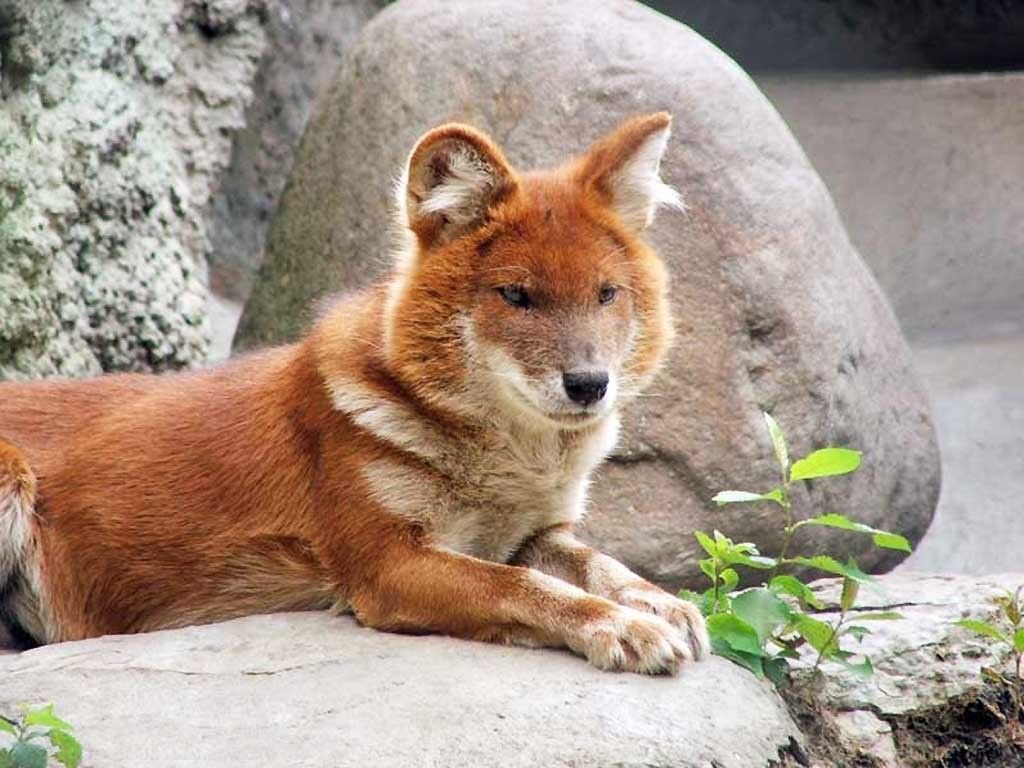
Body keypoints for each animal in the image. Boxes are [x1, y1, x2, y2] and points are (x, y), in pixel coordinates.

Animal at [0, 112, 708, 671]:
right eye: (516, 295)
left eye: (607, 293)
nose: (589, 384)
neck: (510, 456)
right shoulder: (387, 564)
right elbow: (521, 586)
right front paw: (620, 626)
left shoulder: (534, 528)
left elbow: (595, 563)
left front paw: (661, 602)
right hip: (10, 470)